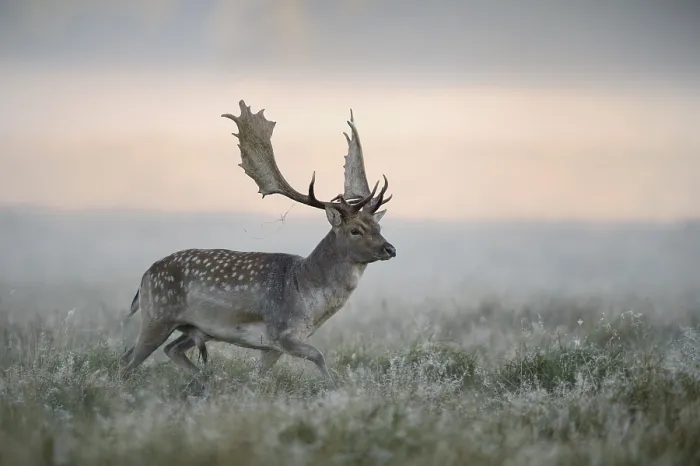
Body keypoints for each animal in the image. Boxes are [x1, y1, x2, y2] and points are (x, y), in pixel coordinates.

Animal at [119, 100, 395, 388]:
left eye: (378, 227)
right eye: (355, 230)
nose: (390, 249)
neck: (308, 298)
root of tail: (145, 277)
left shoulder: (272, 346)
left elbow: (258, 375)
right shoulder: (280, 332)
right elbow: (319, 355)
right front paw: (333, 387)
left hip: (192, 328)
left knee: (166, 350)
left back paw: (206, 379)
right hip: (157, 315)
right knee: (128, 361)